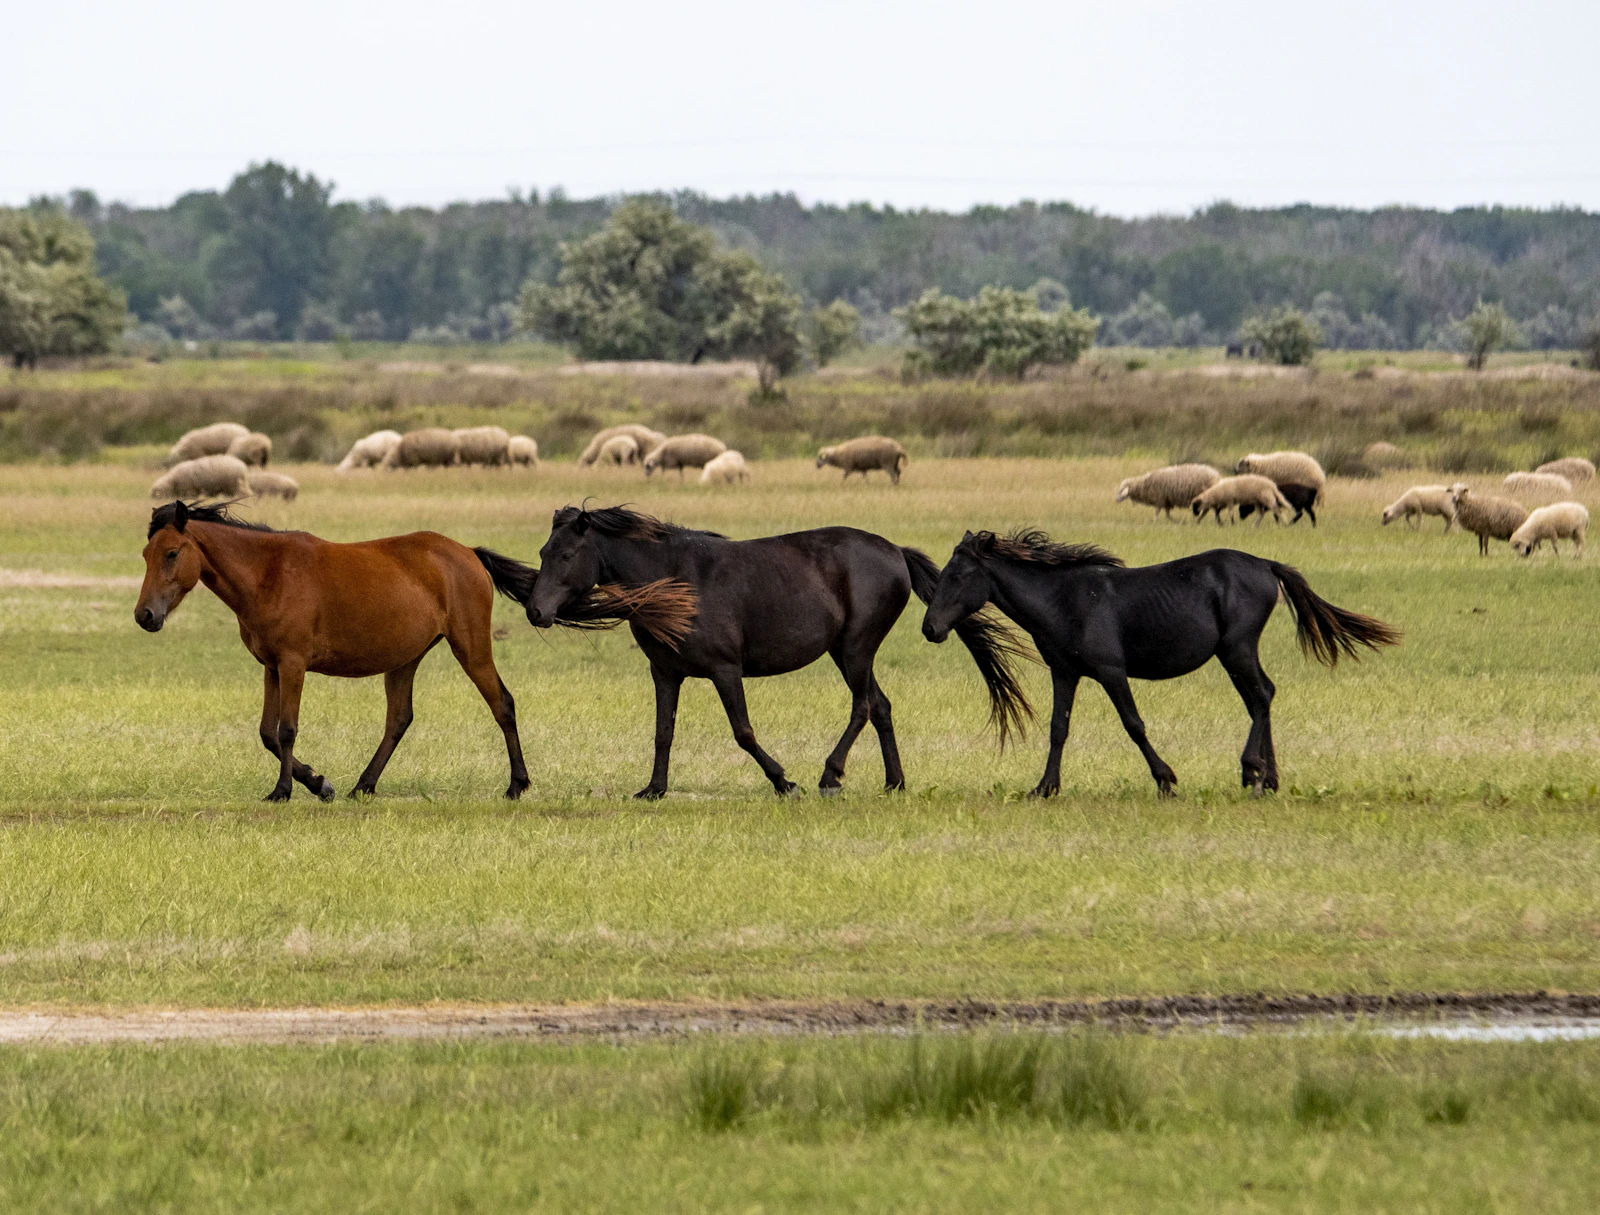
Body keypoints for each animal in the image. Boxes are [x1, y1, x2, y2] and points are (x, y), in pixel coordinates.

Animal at [135, 501, 691, 802]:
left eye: (172, 553)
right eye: (144, 554)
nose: (145, 616)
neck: (269, 573)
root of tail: (466, 554)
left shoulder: (292, 666)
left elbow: (287, 731)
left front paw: (288, 790)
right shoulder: (272, 668)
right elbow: (269, 734)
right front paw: (319, 784)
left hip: (471, 649)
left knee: (503, 704)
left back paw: (517, 784)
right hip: (405, 661)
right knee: (399, 718)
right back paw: (363, 785)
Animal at [520, 505, 1027, 799]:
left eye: (566, 555)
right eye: (543, 551)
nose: (536, 611)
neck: (676, 580)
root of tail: (895, 552)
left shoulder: (725, 670)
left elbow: (743, 732)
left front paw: (785, 781)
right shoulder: (664, 672)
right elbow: (663, 733)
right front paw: (653, 790)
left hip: (855, 650)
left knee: (863, 706)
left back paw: (830, 776)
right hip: (847, 653)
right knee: (880, 706)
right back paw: (894, 783)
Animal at [920, 530, 1400, 798]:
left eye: (957, 575)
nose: (930, 628)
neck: (1063, 600)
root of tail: (1266, 565)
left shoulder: (1111, 672)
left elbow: (1134, 725)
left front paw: (1166, 780)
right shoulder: (1066, 673)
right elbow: (1059, 728)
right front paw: (1044, 788)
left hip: (1237, 647)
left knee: (1261, 695)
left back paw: (1253, 772)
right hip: (1234, 653)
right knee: (1258, 699)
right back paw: (1269, 778)